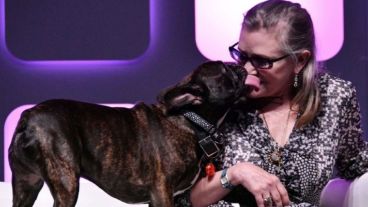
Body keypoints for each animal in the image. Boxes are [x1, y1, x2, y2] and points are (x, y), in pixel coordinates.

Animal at [8, 60, 249, 206]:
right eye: (224, 70)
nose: (238, 65)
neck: (189, 118)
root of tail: (28, 116)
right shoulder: (162, 192)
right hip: (66, 181)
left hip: (26, 185)